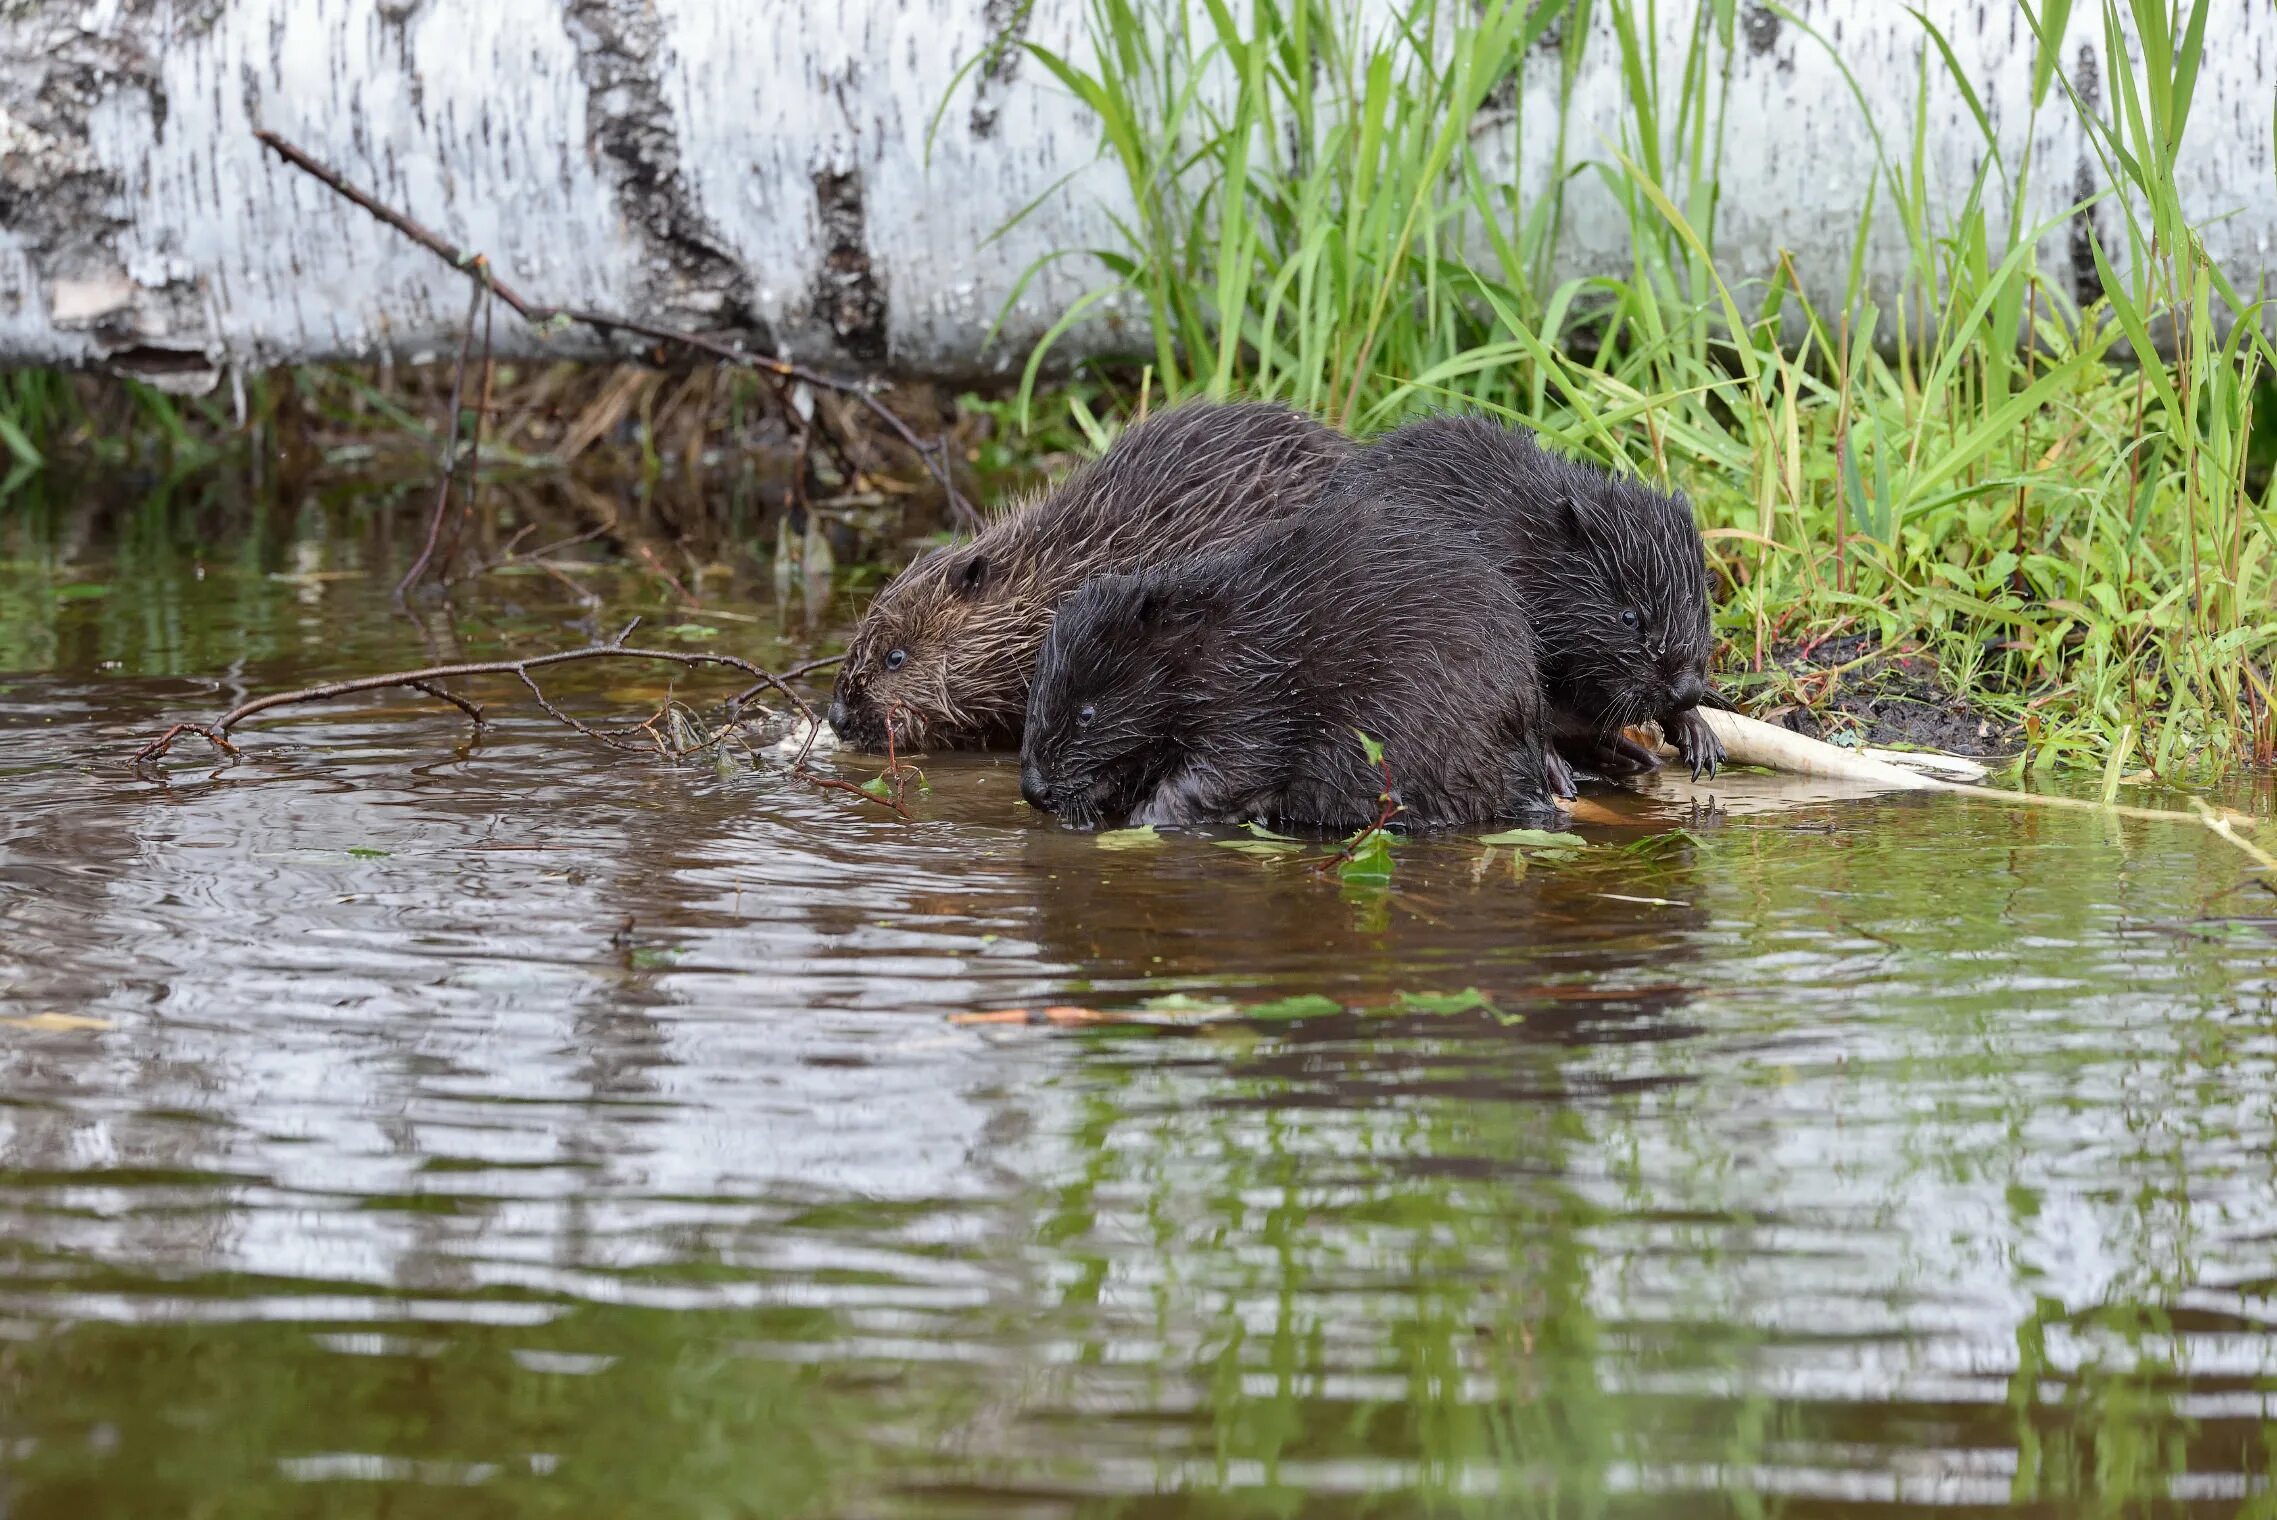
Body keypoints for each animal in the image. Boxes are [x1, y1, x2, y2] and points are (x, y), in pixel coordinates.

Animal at [1020, 500, 1566, 837]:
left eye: (1087, 714)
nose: (1032, 790)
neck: (1211, 643)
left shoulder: (1249, 701)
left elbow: (1230, 772)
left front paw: (1143, 819)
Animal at [1320, 418, 1721, 796]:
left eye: (1701, 606)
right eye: (1629, 616)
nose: (1687, 690)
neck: (1527, 555)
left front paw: (1699, 735)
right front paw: (1558, 773)